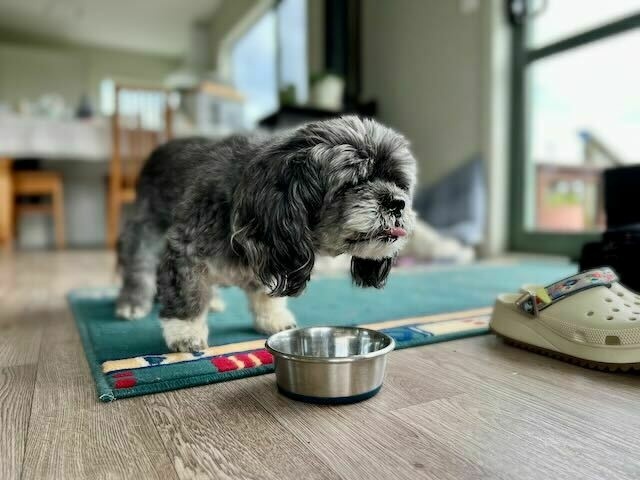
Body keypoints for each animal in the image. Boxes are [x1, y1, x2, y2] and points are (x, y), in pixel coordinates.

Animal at [115, 114, 418, 350]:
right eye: (354, 182)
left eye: (399, 183)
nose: (397, 203)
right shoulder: (185, 249)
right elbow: (185, 293)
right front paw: (186, 332)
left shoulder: (270, 254)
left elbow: (265, 292)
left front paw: (272, 318)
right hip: (144, 229)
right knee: (139, 265)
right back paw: (133, 301)